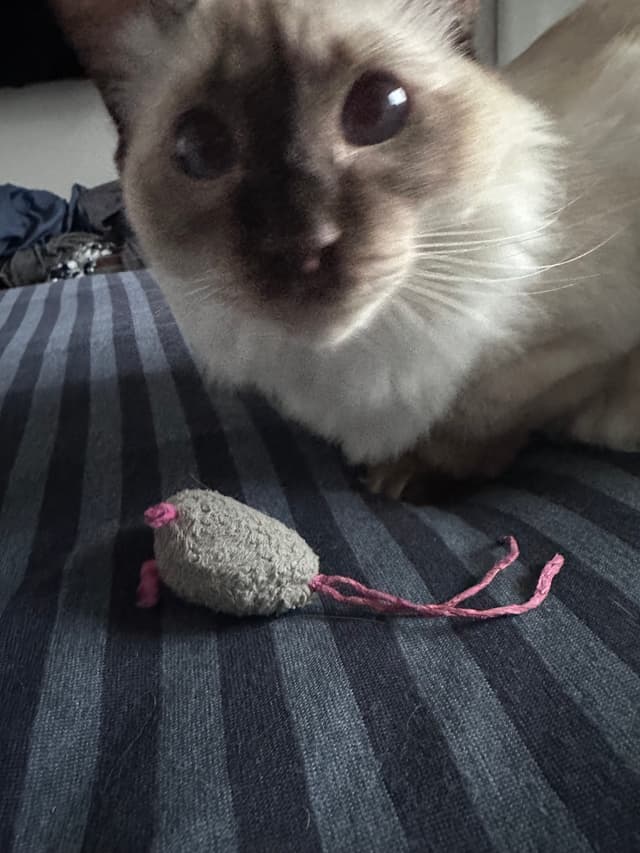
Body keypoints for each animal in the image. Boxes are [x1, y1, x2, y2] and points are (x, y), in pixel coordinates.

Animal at [55, 0, 640, 500]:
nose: (301, 244)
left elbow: (486, 412)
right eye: (199, 149)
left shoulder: (576, 348)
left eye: (380, 109)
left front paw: (409, 474)